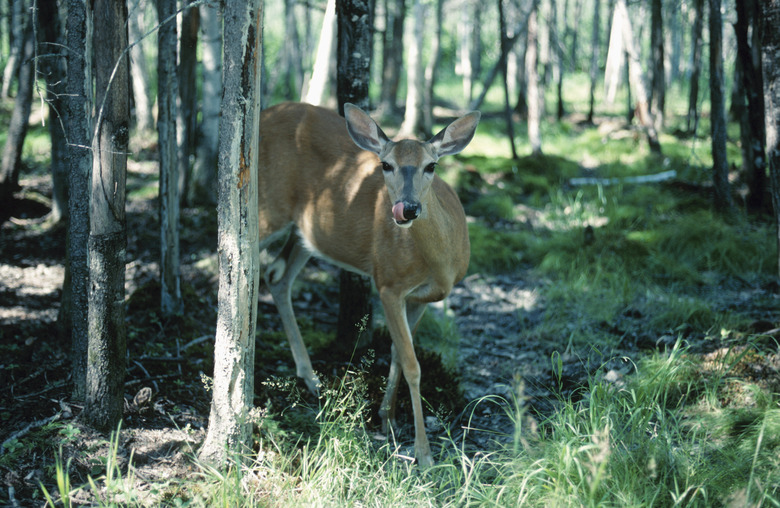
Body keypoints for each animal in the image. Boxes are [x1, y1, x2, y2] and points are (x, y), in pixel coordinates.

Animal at [260, 101, 482, 466]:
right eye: (386, 165)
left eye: (431, 165)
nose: (407, 208)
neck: (440, 265)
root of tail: (265, 114)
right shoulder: (388, 282)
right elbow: (412, 364)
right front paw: (423, 453)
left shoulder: (419, 298)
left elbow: (397, 354)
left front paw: (387, 419)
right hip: (266, 207)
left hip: (306, 232)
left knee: (277, 278)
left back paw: (310, 378)